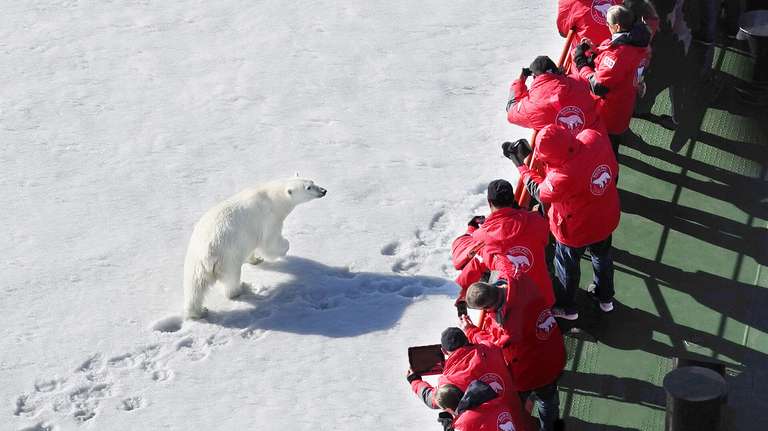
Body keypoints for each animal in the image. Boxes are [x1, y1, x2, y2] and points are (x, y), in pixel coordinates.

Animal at [184, 177, 328, 318]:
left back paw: (199, 312)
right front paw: (285, 245)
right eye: (308, 188)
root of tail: (208, 254)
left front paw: (256, 259)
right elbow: (269, 244)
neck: (273, 197)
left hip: (195, 261)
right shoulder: (269, 219)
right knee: (231, 279)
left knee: (195, 286)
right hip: (228, 257)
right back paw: (241, 289)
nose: (323, 190)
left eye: (312, 182)